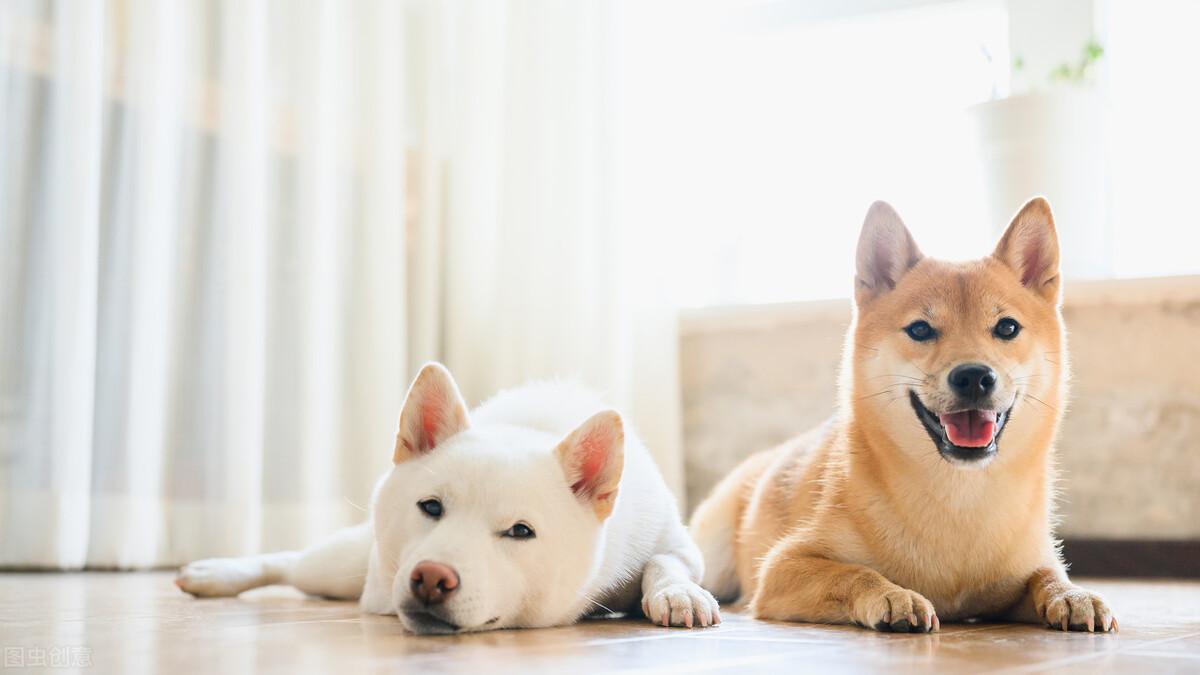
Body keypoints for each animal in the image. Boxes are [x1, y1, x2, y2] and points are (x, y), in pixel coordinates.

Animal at [175, 362, 720, 629]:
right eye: (431, 507)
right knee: (290, 563)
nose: (431, 579)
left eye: (520, 532)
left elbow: (664, 564)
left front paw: (677, 594)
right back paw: (216, 573)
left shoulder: (678, 544)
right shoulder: (377, 589)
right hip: (339, 568)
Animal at [691, 195, 1118, 629]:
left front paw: (1071, 595)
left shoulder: (1025, 568)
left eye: (1007, 328)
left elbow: (1047, 575)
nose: (974, 376)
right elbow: (855, 572)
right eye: (920, 330)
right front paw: (893, 595)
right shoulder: (784, 566)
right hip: (713, 557)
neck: (959, 498)